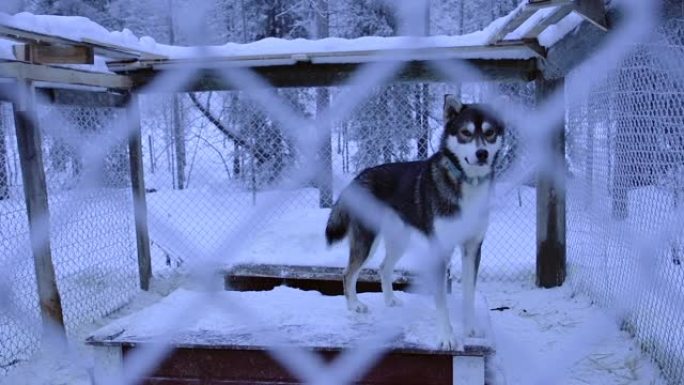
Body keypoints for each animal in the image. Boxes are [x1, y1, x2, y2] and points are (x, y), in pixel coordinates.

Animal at [324, 94, 504, 348]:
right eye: (465, 133)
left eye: (489, 133)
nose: (482, 154)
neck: (467, 185)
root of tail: (359, 177)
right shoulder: (440, 250)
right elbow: (441, 301)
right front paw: (446, 337)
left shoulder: (472, 248)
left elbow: (469, 294)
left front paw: (470, 329)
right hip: (367, 241)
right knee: (348, 273)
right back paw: (354, 306)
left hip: (399, 241)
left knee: (383, 267)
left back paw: (390, 300)